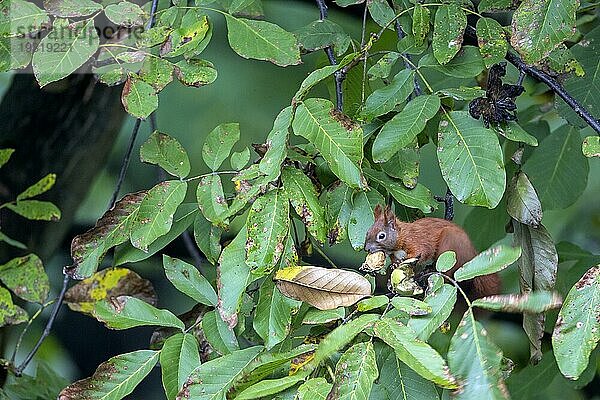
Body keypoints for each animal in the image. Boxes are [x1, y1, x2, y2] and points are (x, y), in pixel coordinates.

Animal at [364, 205, 500, 298]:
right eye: (367, 232)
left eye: (381, 236)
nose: (366, 248)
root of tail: (472, 254)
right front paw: (394, 267)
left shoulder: (416, 241)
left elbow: (420, 252)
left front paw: (402, 261)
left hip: (450, 242)